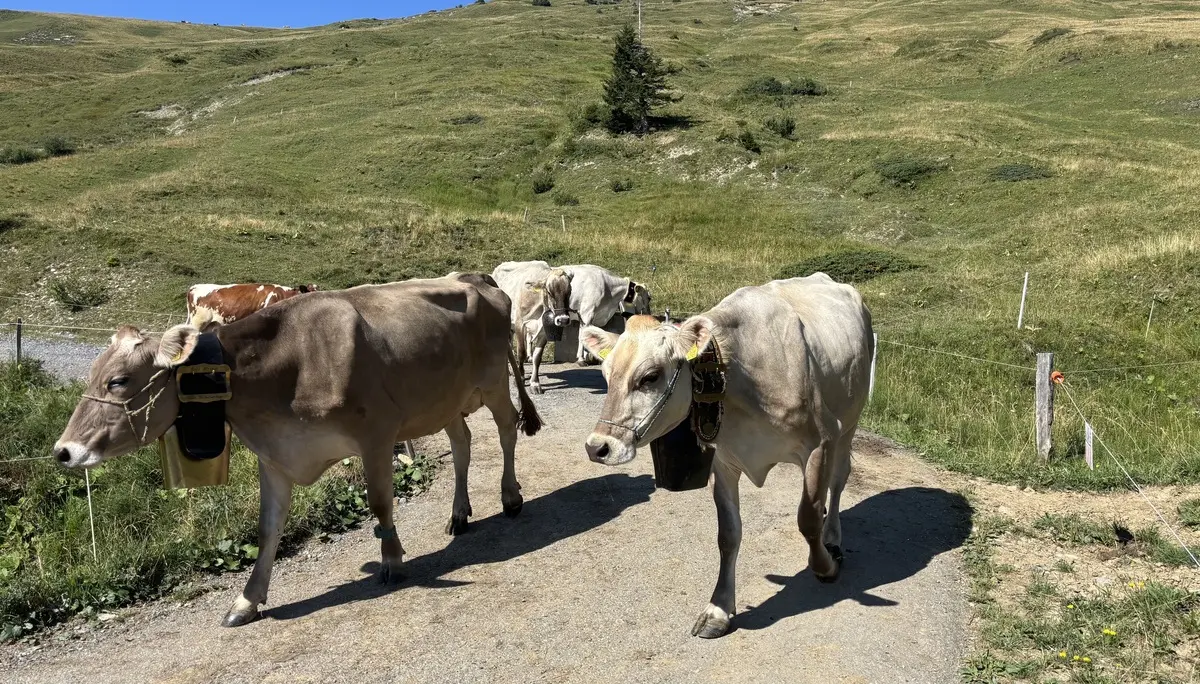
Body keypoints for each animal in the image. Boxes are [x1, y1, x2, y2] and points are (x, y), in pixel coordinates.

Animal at [578, 273, 873, 639]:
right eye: (606, 375)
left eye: (649, 377)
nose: (597, 447)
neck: (740, 379)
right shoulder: (724, 462)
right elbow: (728, 535)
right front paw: (718, 609)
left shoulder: (822, 440)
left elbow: (806, 519)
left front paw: (824, 566)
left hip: (849, 424)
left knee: (837, 483)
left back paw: (832, 536)